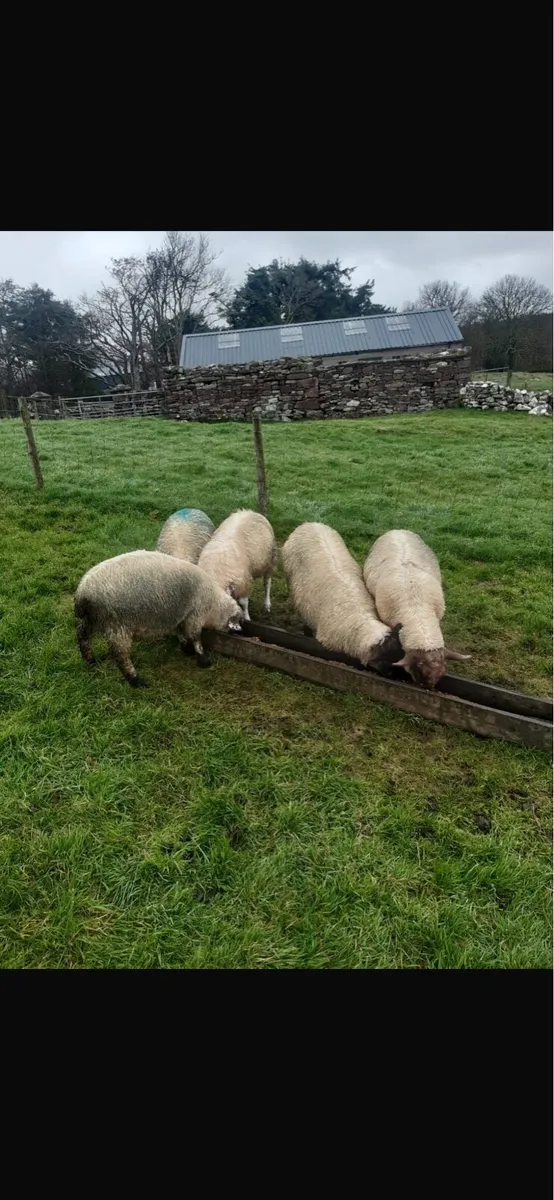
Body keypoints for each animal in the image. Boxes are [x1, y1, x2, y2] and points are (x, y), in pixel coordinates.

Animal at [74, 550, 243, 687]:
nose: (237, 632)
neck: (214, 605)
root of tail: (83, 593)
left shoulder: (179, 614)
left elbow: (180, 632)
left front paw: (186, 648)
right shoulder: (195, 614)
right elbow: (196, 637)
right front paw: (203, 660)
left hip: (94, 618)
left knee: (82, 634)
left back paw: (90, 660)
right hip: (118, 623)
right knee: (120, 654)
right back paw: (135, 680)